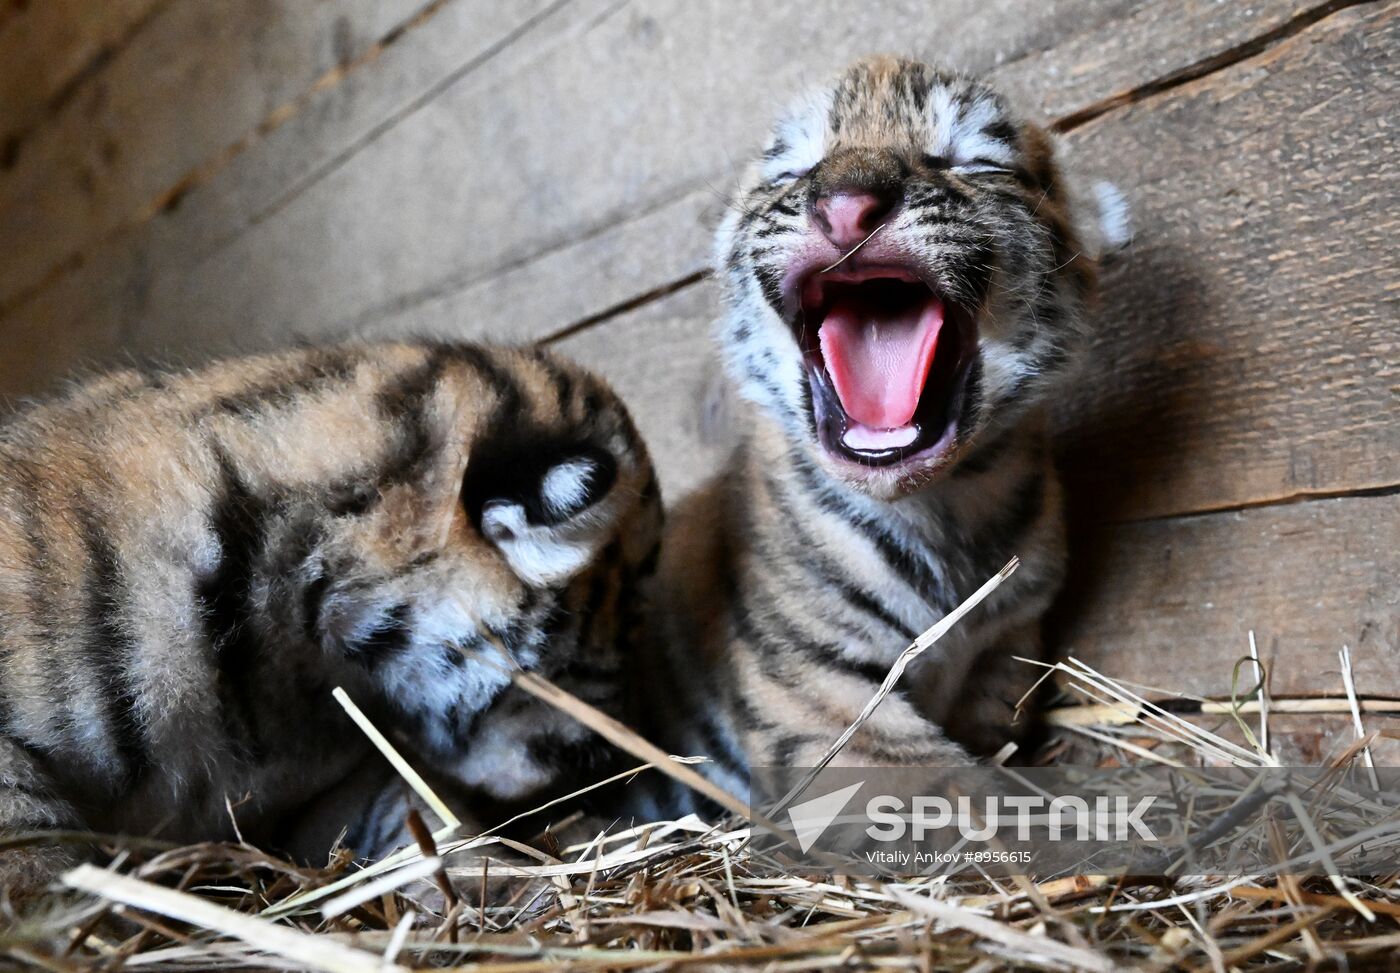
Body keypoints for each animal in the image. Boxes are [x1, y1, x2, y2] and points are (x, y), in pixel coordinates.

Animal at [633, 55, 1128, 812]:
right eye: (794, 169)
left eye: (971, 159)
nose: (846, 205)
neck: (945, 509)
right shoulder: (812, 684)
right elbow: (938, 788)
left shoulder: (1007, 642)